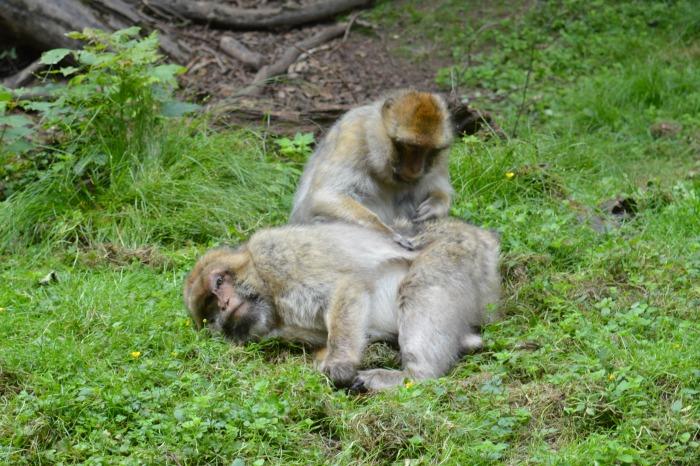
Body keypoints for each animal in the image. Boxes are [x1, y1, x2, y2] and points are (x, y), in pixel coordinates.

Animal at [180, 218, 498, 390]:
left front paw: (339, 363)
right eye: (209, 309)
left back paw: (413, 375)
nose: (223, 305)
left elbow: (347, 286)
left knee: (419, 285)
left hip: (456, 251)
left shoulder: (278, 255)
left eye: (218, 283)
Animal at [288, 88, 454, 248]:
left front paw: (435, 205)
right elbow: (325, 196)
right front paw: (387, 232)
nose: (416, 170)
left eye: (430, 150)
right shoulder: (351, 137)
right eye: (412, 147)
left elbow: (440, 188)